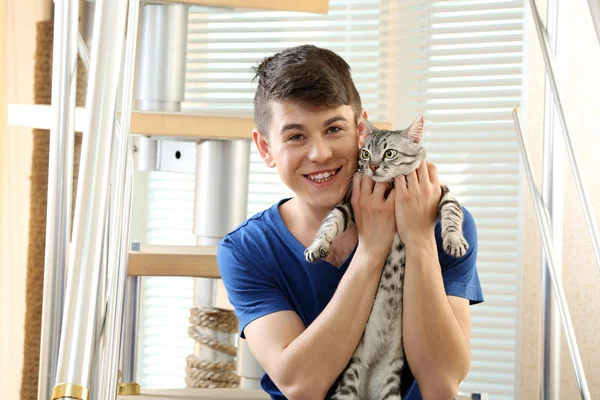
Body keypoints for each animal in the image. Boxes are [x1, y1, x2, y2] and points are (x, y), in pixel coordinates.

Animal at [304, 115, 468, 400]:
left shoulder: (444, 194)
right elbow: (329, 222)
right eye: (365, 153)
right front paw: (317, 245)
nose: (372, 166)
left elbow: (452, 215)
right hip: (348, 384)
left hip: (390, 385)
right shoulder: (347, 205)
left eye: (390, 153)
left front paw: (454, 241)